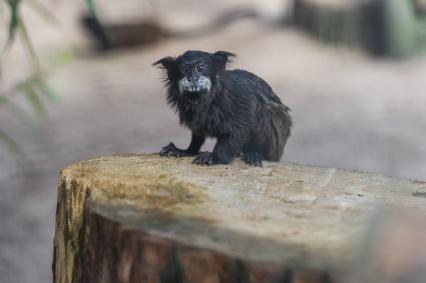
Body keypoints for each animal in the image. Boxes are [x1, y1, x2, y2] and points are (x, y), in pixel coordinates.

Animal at [154, 50, 292, 168]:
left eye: (200, 69)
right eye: (185, 70)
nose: (193, 78)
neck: (205, 99)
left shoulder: (239, 97)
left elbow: (239, 129)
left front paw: (214, 157)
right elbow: (198, 133)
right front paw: (187, 151)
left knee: (267, 111)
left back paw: (255, 154)